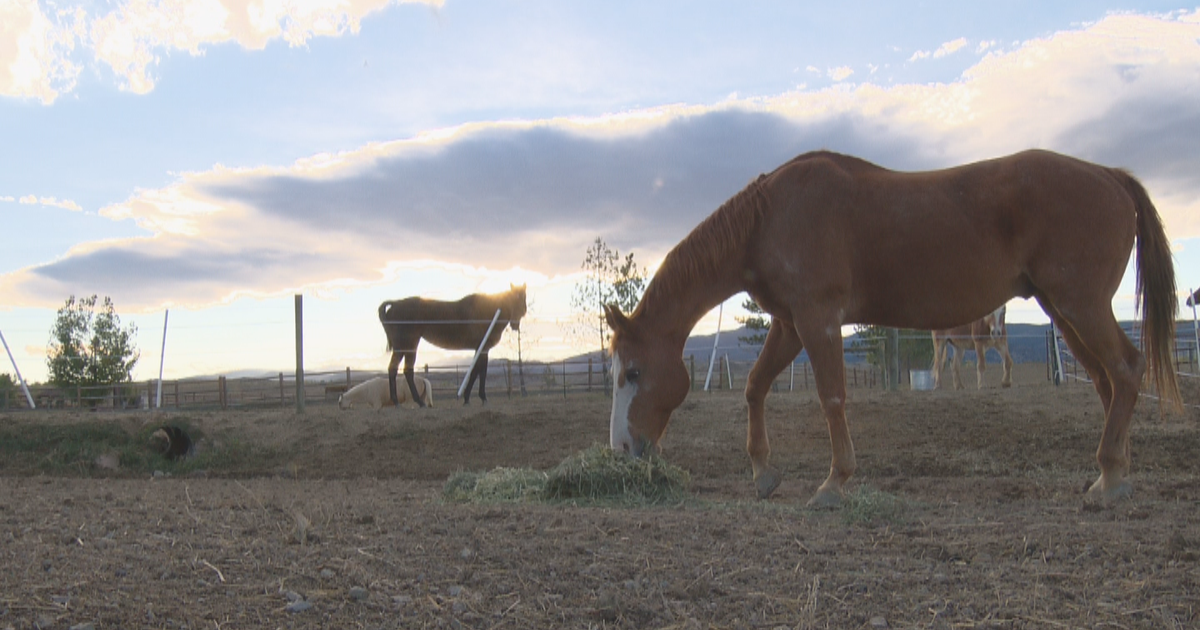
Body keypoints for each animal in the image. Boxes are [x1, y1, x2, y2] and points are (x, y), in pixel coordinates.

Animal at [379, 284, 526, 406]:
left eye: (523, 300)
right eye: (512, 299)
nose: (515, 324)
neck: (488, 312)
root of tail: (395, 304)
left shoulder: (479, 349)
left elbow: (474, 372)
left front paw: (466, 398)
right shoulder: (483, 349)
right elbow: (481, 372)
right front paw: (482, 398)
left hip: (404, 347)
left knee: (396, 370)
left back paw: (400, 401)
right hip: (407, 346)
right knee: (404, 370)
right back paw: (416, 402)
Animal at [603, 149, 1180, 507]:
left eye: (633, 372)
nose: (623, 450)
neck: (770, 218)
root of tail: (1109, 175)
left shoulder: (818, 320)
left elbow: (832, 397)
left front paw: (834, 484)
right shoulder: (789, 323)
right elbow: (754, 386)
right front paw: (764, 474)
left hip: (1080, 306)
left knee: (1127, 369)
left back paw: (1110, 478)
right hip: (1066, 312)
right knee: (1109, 380)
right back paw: (1113, 474)